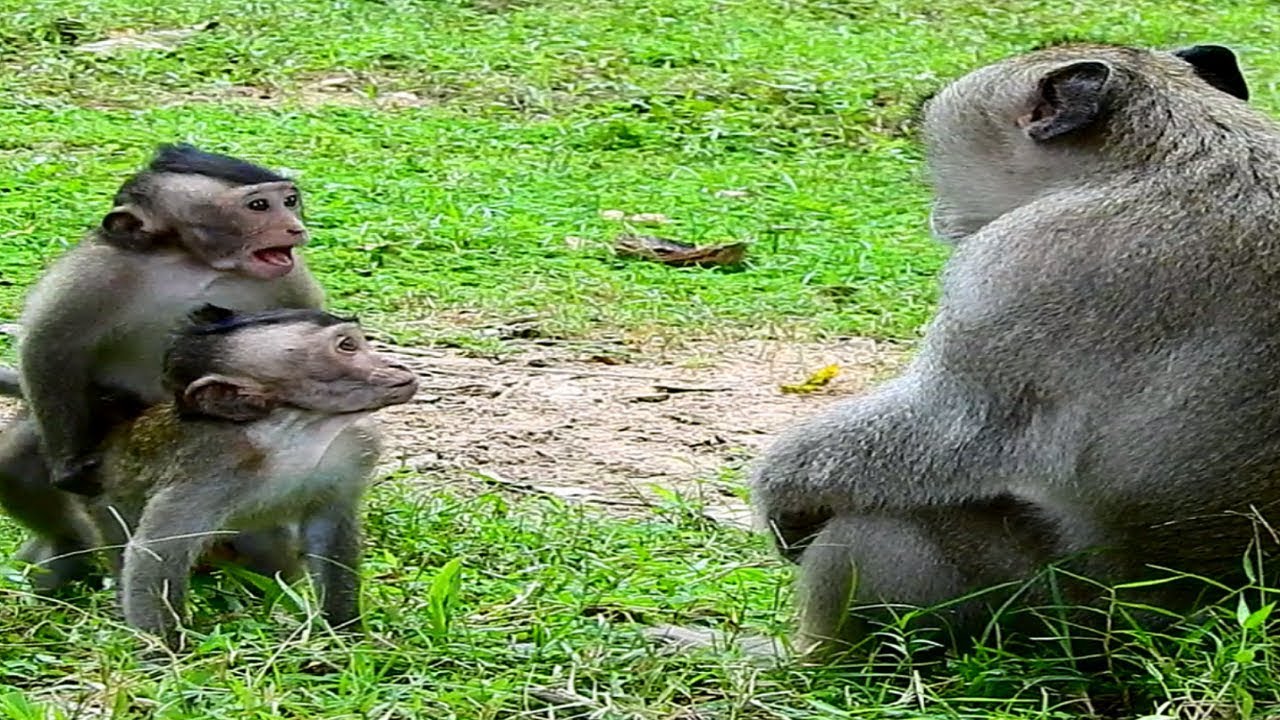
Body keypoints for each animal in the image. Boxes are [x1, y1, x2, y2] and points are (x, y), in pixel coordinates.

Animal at [0, 143, 326, 593]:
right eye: (259, 206)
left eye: (289, 201)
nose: (295, 228)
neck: (192, 264)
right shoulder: (96, 271)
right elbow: (49, 346)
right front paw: (69, 466)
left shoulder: (290, 281)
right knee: (17, 462)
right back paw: (66, 551)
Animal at [79, 304, 418, 649]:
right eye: (347, 346)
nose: (395, 363)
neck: (292, 431)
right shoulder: (210, 466)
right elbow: (156, 551)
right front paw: (165, 653)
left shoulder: (355, 446)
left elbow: (329, 529)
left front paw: (345, 633)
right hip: (108, 506)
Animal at [650, 42, 1280, 664]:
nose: (936, 212)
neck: (1162, 149)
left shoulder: (1018, 266)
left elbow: (952, 426)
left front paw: (782, 498)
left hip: (1054, 612)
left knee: (879, 522)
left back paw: (802, 661)